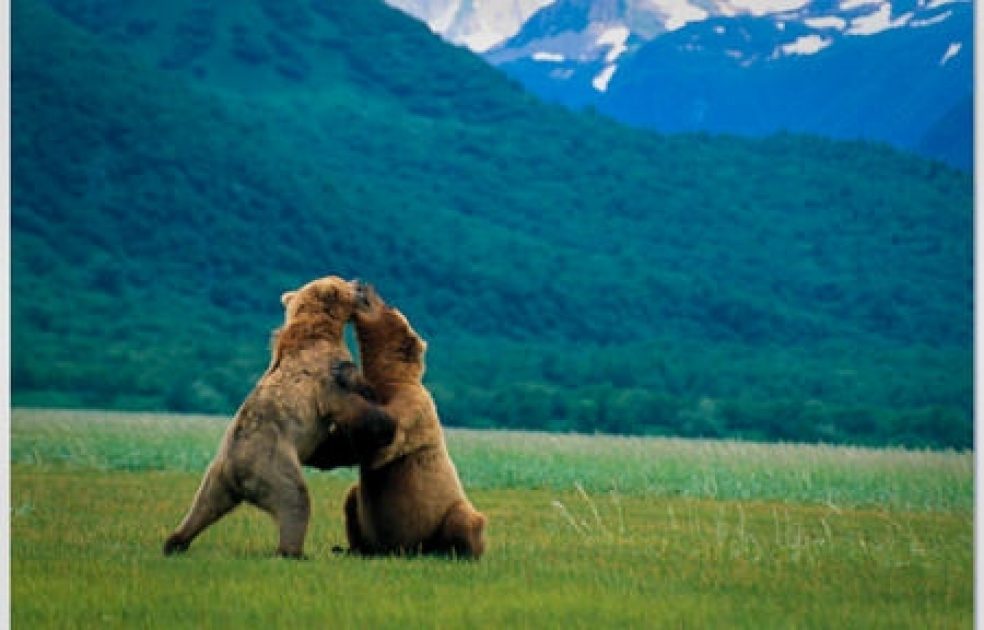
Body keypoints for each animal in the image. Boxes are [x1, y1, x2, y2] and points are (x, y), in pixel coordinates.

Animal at [163, 276, 394, 556]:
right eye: (344, 281)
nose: (359, 281)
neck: (322, 329)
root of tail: (237, 475)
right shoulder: (325, 376)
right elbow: (351, 403)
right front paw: (382, 418)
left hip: (215, 477)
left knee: (202, 507)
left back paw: (175, 542)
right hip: (273, 465)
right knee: (295, 500)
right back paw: (292, 551)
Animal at [332, 284, 486, 560]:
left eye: (389, 304)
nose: (363, 284)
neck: (392, 380)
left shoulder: (414, 407)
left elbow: (386, 440)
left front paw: (346, 372)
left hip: (444, 514)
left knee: (464, 519)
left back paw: (455, 553)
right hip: (365, 519)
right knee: (351, 498)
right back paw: (349, 549)